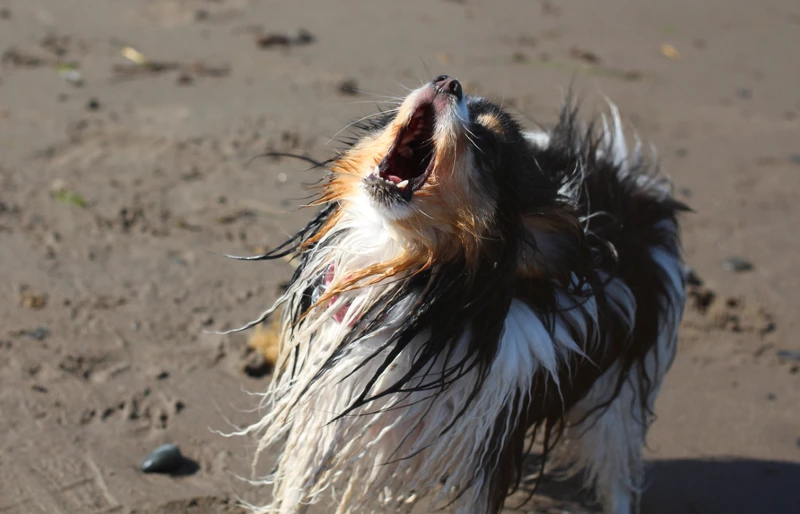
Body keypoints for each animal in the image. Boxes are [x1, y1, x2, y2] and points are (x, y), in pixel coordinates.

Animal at [223, 73, 688, 512]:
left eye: (487, 145)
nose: (448, 82)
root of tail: (624, 187)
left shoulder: (483, 450)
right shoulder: (329, 398)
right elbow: (297, 488)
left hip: (617, 399)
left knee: (617, 475)